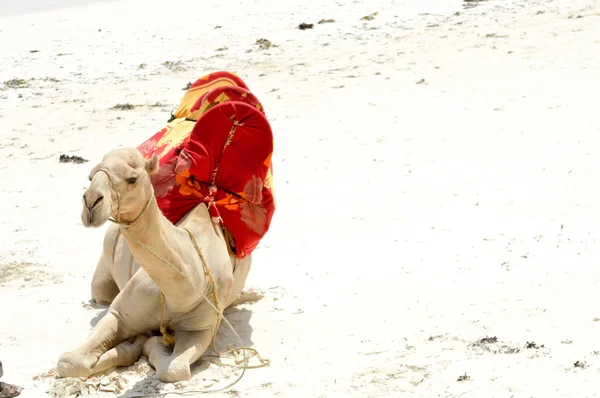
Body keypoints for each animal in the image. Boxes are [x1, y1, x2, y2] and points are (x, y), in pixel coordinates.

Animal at [56, 147, 253, 382]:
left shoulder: (200, 329)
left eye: (132, 179)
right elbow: (69, 362)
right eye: (91, 176)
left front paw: (148, 343)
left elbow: (175, 369)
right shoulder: (119, 314)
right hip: (102, 282)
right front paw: (134, 345)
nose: (91, 203)